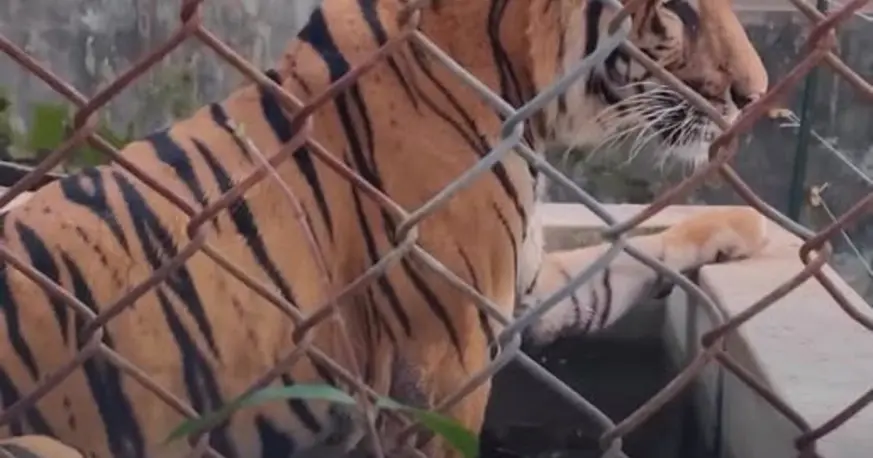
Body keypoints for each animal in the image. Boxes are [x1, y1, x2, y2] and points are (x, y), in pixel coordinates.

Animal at [0, 0, 769, 457]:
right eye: (679, 9)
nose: (753, 95)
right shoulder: (446, 353)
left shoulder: (515, 291)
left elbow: (620, 258)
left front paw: (749, 228)